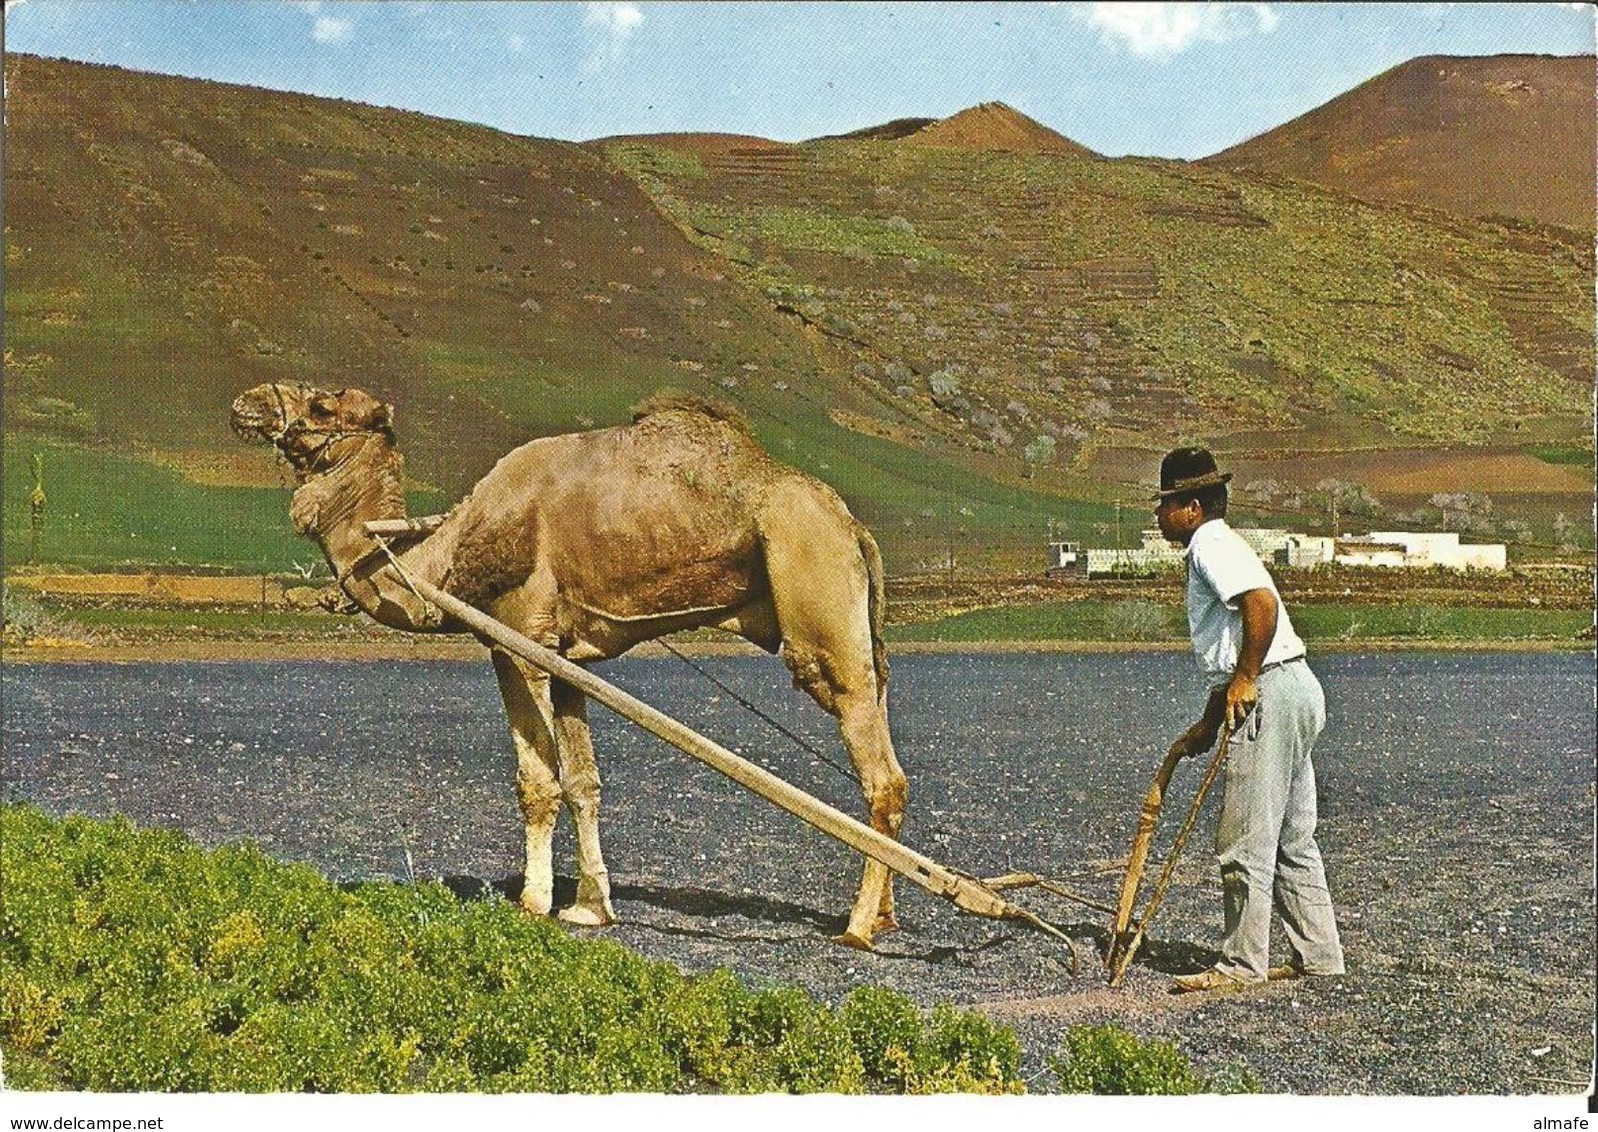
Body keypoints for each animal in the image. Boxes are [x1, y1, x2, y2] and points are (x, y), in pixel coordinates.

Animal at [230, 380, 907, 946]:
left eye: (322, 405)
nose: (249, 402)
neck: (449, 555)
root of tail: (853, 527)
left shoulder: (518, 640)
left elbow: (538, 783)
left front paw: (533, 902)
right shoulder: (564, 657)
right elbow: (583, 782)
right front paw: (590, 906)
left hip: (819, 609)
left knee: (880, 774)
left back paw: (856, 928)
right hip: (859, 635)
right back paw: (886, 914)